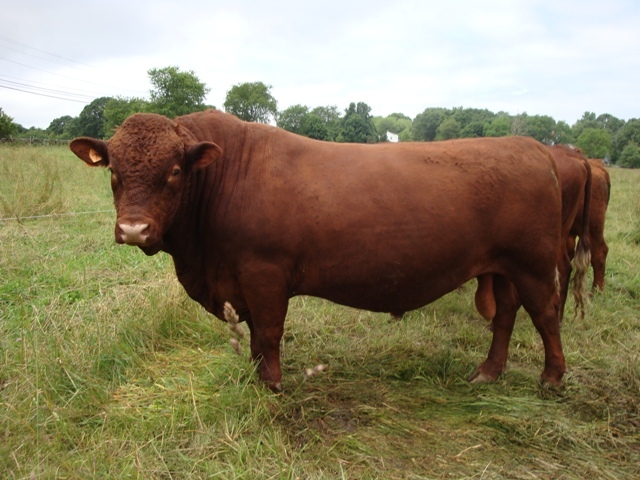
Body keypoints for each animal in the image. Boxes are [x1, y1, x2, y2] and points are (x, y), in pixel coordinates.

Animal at [70, 109, 565, 391]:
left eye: (174, 171)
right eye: (113, 170)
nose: (134, 229)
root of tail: (533, 147)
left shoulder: (264, 273)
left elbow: (268, 334)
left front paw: (271, 387)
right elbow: (256, 337)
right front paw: (257, 379)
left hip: (534, 264)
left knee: (544, 316)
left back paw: (552, 378)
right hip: (503, 267)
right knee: (506, 315)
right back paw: (489, 372)